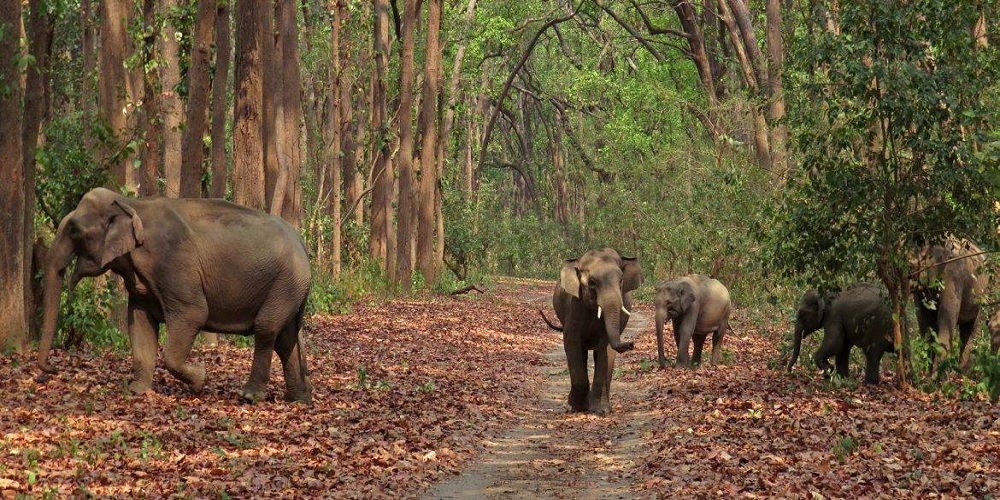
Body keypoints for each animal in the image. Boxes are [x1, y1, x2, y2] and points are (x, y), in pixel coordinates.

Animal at [38, 188, 312, 402]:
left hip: (286, 282)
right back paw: (297, 398)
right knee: (285, 337)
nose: (50, 368)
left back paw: (249, 396)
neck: (131, 203)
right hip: (289, 288)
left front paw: (201, 380)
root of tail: (301, 242)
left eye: (74, 230)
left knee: (266, 329)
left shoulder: (173, 264)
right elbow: (138, 322)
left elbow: (194, 313)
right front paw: (136, 390)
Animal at [540, 247, 640, 414]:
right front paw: (576, 407)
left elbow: (605, 349)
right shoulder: (574, 307)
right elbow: (571, 343)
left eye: (621, 280)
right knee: (582, 353)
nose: (631, 344)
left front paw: (600, 410)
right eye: (592, 282)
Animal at [912, 237, 988, 372]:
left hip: (980, 298)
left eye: (924, 257)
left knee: (970, 329)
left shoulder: (953, 278)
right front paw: (925, 374)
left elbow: (945, 323)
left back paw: (960, 372)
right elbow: (926, 325)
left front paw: (936, 376)